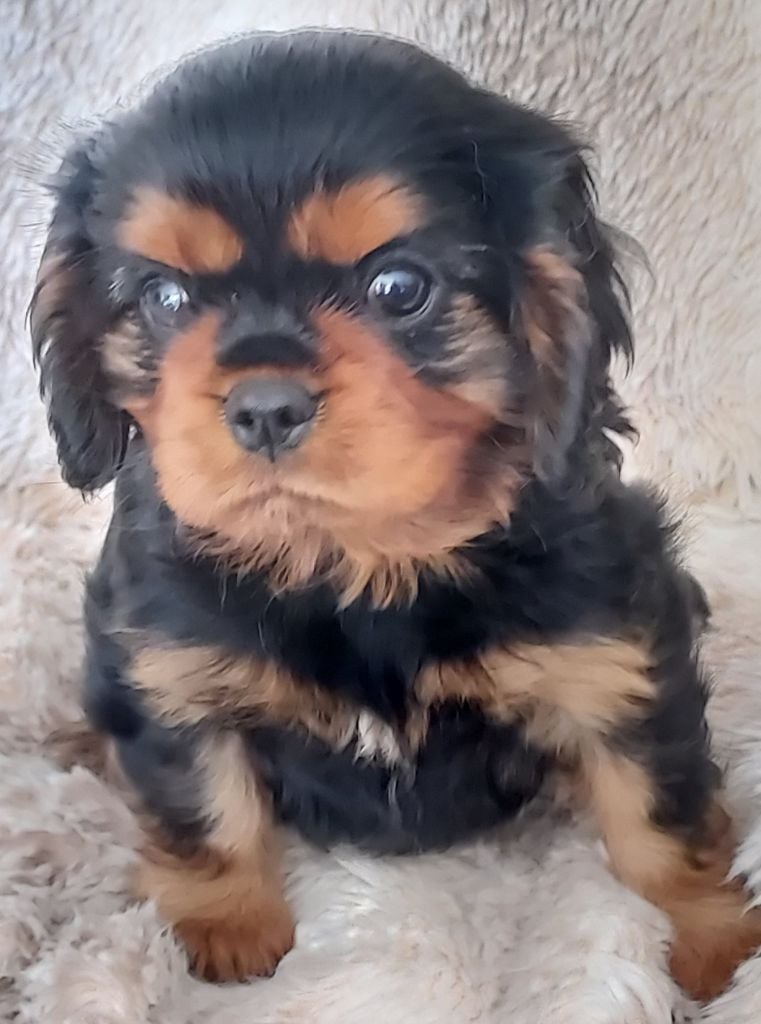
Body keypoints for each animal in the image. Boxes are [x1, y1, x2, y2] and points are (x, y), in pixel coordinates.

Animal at [29, 30, 761, 1001]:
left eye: (398, 287)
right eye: (164, 298)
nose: (264, 406)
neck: (355, 557)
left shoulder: (617, 658)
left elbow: (657, 811)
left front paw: (715, 942)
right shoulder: (170, 669)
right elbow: (202, 808)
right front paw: (227, 931)